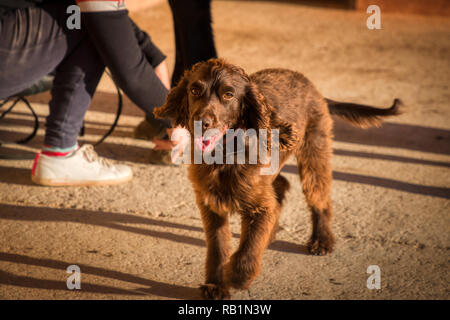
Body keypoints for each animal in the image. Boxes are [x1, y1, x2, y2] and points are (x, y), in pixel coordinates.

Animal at [154, 58, 398, 300]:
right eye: (194, 90)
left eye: (228, 94)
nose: (200, 121)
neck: (224, 156)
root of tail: (313, 88)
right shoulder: (211, 204)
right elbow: (217, 246)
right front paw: (216, 285)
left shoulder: (260, 207)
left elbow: (248, 249)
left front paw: (237, 277)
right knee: (282, 186)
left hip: (314, 153)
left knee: (318, 196)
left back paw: (322, 239)